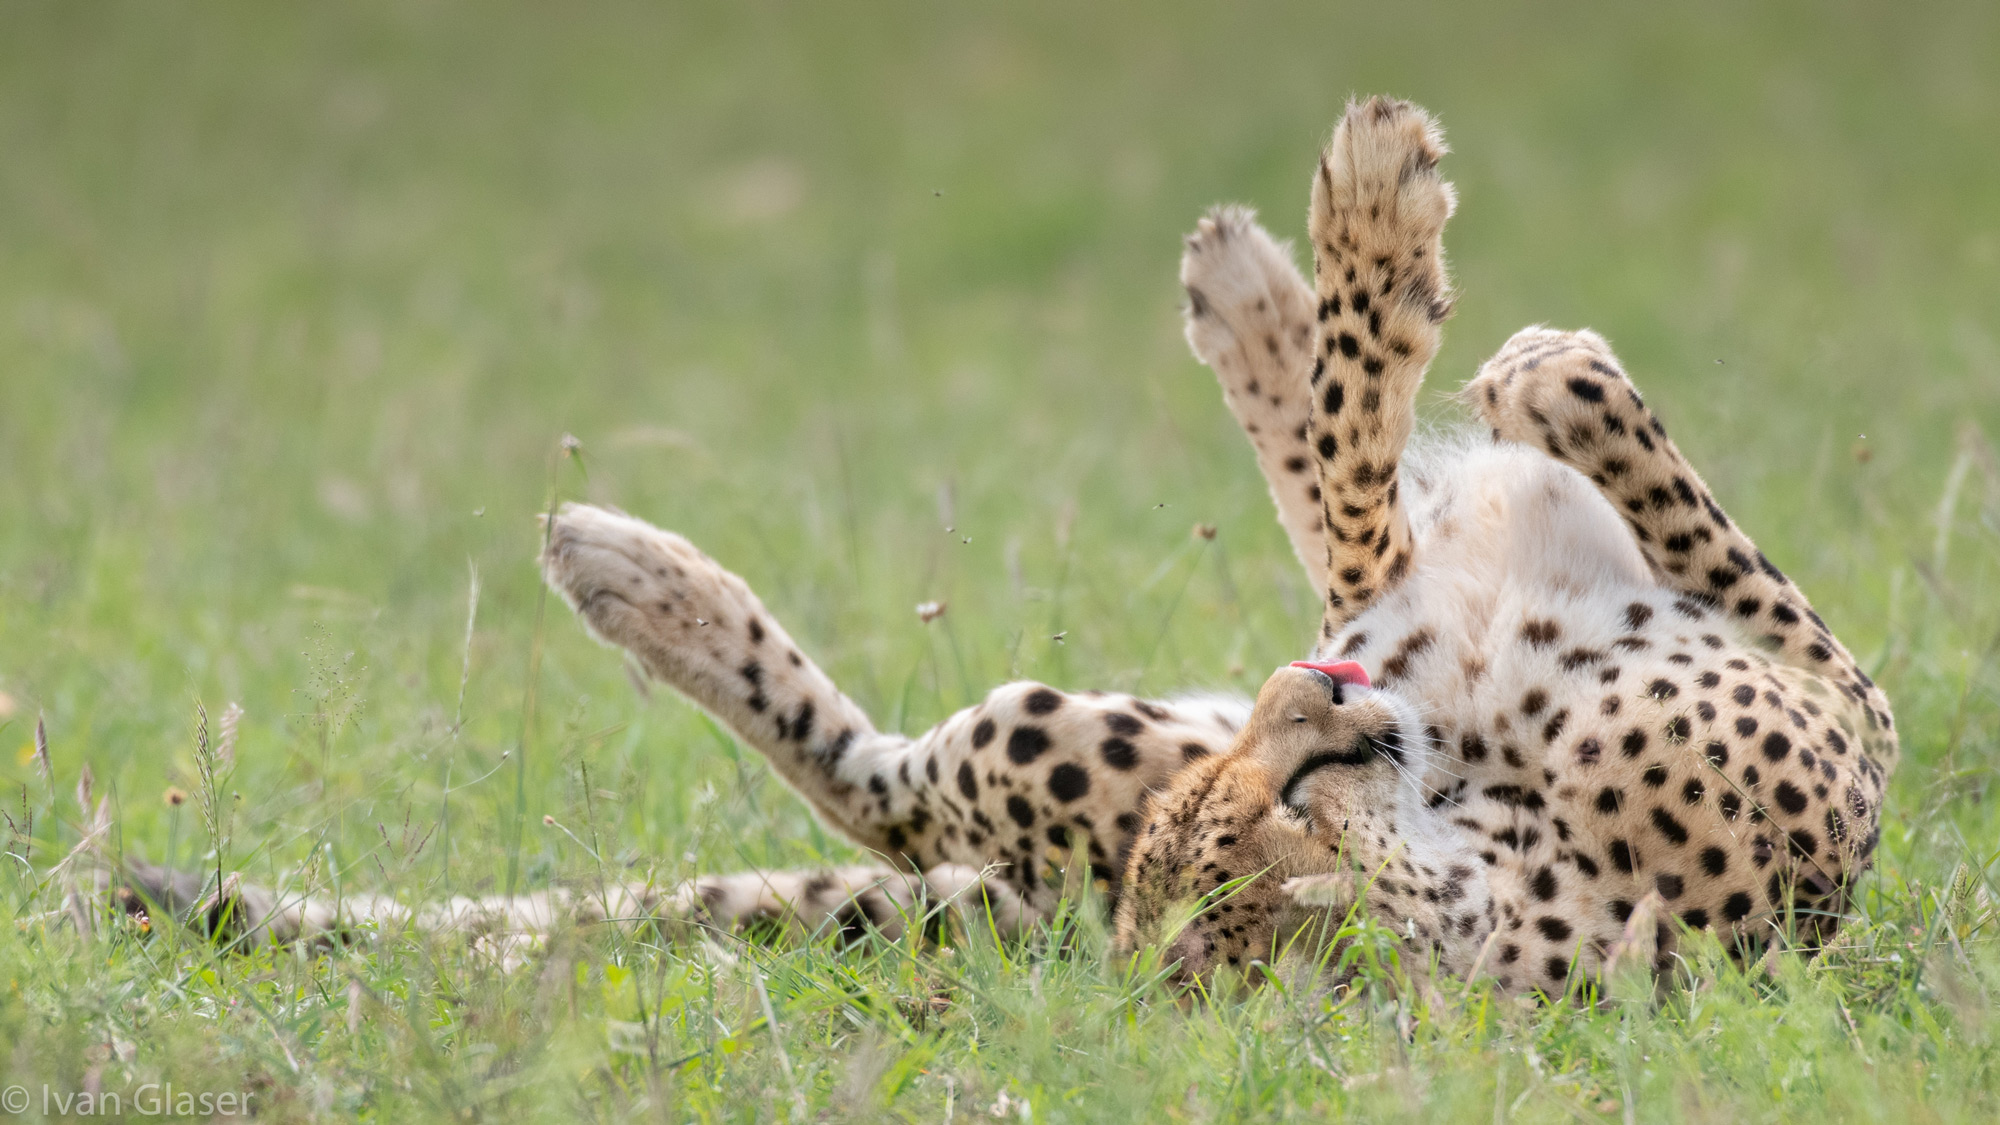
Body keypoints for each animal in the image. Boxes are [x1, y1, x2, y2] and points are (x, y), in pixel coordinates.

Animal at [117, 96, 1896, 988]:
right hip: (1052, 728)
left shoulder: (1811, 724)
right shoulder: (1817, 703)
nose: (1301, 701)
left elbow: (1425, 465)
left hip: (1067, 736)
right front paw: (1402, 266)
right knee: (887, 782)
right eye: (1237, 813)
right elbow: (1409, 450)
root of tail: (1061, 912)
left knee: (894, 791)